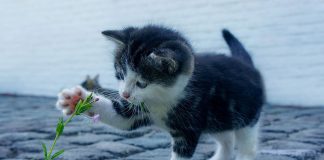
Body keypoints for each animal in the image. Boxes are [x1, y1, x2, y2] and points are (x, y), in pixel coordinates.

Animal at [56, 25, 264, 159]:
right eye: (120, 74)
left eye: (142, 83)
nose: (124, 94)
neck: (163, 98)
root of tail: (248, 65)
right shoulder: (138, 109)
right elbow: (120, 117)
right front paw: (76, 99)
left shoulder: (188, 130)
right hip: (217, 120)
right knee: (226, 139)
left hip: (246, 117)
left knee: (247, 145)